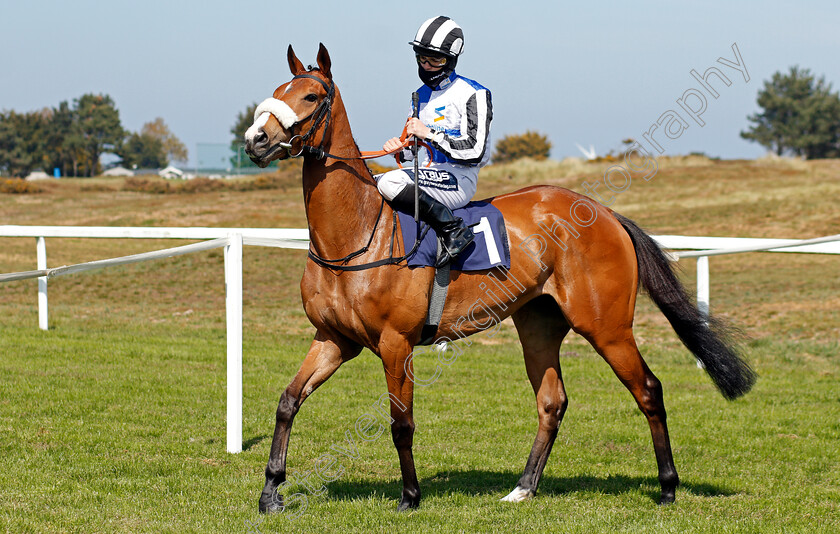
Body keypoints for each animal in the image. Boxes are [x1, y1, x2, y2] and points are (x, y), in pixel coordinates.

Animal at [243, 45, 756, 516]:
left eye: (311, 95)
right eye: (277, 91)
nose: (255, 139)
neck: (355, 238)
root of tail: (606, 212)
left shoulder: (396, 343)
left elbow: (400, 422)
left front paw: (410, 496)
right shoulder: (333, 339)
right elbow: (287, 401)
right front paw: (271, 492)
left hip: (607, 326)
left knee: (648, 389)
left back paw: (668, 486)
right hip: (538, 325)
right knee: (552, 402)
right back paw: (524, 487)